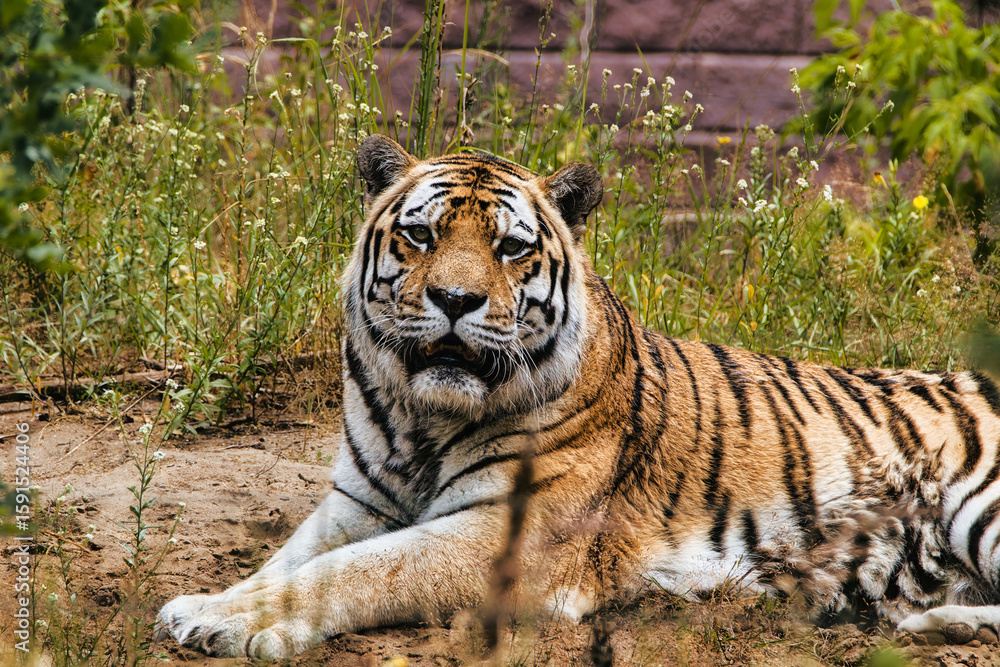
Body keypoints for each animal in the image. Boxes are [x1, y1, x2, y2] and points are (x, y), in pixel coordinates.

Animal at [156, 134, 1000, 659]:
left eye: (510, 247)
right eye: (421, 236)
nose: (455, 300)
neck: (419, 418)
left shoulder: (505, 533)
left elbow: (357, 571)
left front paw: (227, 621)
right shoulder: (357, 500)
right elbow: (289, 559)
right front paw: (214, 601)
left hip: (978, 502)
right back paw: (933, 620)